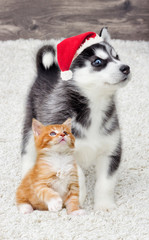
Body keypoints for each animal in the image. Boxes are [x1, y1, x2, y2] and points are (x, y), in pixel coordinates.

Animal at [21, 28, 130, 210]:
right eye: (97, 62)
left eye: (117, 56)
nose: (126, 68)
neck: (95, 104)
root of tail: (46, 70)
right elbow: (78, 175)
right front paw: (78, 198)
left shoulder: (110, 150)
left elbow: (106, 183)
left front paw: (104, 205)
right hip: (31, 127)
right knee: (27, 152)